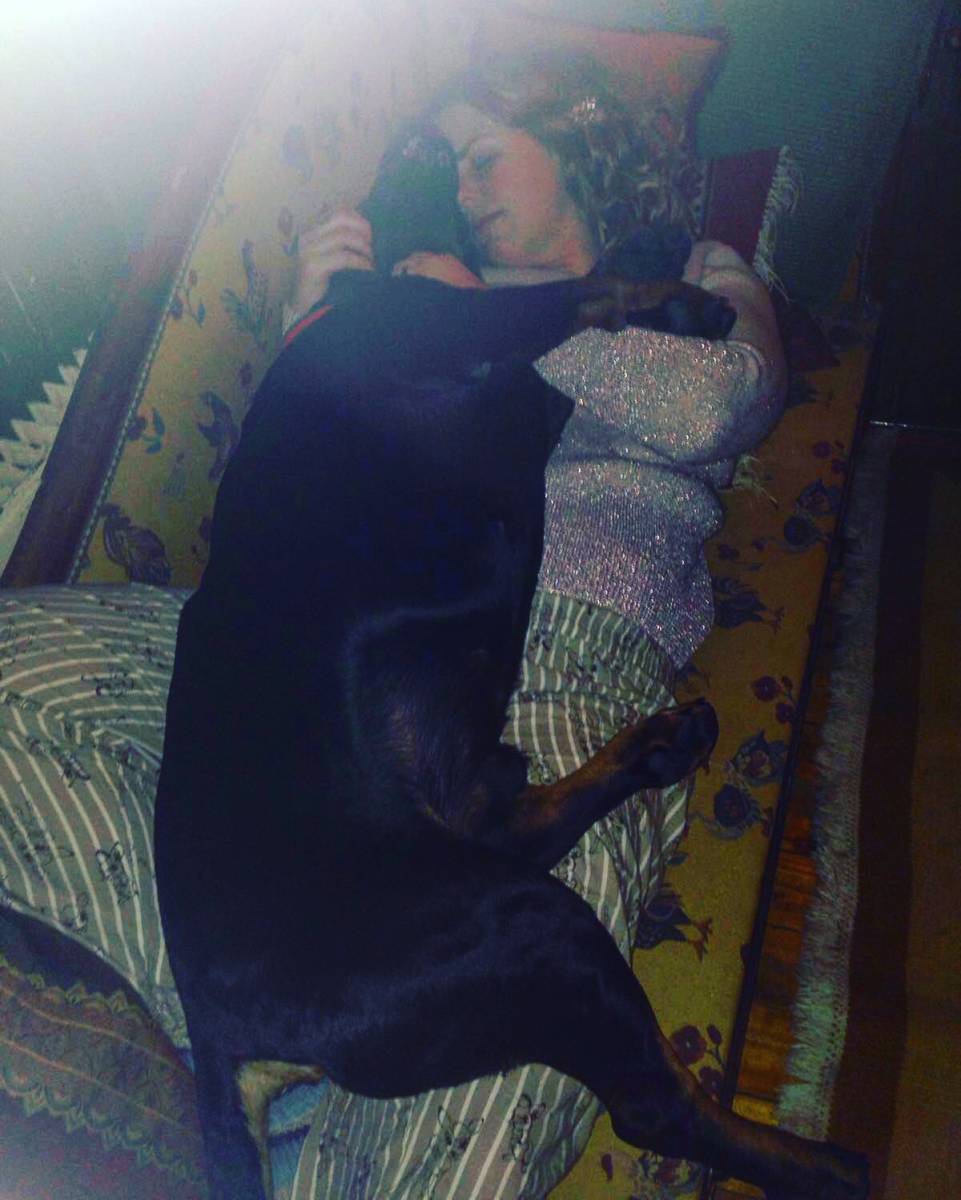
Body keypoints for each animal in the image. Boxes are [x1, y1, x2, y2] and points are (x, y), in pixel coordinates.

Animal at [155, 125, 868, 1200]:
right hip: (524, 925)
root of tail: (220, 1031)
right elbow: (579, 288)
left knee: (514, 817)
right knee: (651, 1105)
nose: (422, 133)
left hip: (485, 867)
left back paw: (659, 747)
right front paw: (676, 294)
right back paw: (830, 1163)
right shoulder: (472, 334)